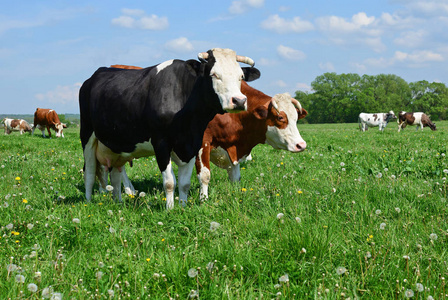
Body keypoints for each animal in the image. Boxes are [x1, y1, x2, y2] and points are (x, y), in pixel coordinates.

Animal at [78, 48, 260, 209]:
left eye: (240, 76)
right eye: (214, 74)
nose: (239, 101)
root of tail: (94, 75)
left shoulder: (193, 143)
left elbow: (185, 183)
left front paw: (183, 206)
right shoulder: (161, 143)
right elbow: (170, 182)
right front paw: (170, 209)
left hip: (116, 146)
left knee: (115, 175)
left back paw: (118, 202)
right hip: (87, 135)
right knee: (89, 173)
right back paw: (88, 203)